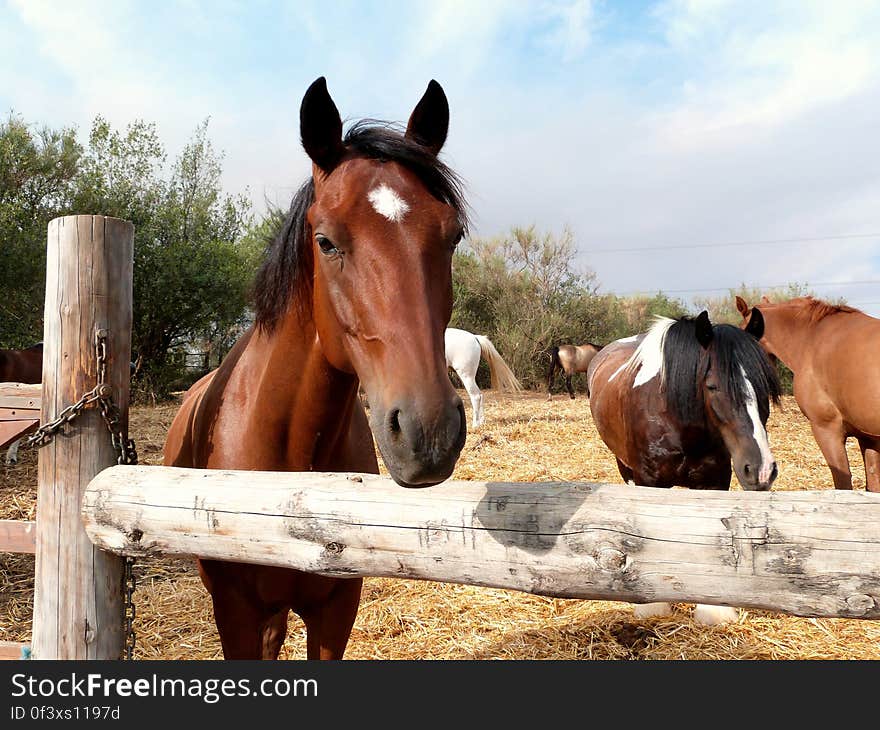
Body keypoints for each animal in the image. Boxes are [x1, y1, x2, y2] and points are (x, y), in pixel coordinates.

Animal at [588, 310, 780, 624]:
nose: (761, 470)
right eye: (712, 385)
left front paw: (713, 609)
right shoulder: (649, 482)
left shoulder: (714, 481)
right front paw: (652, 605)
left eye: (765, 385)